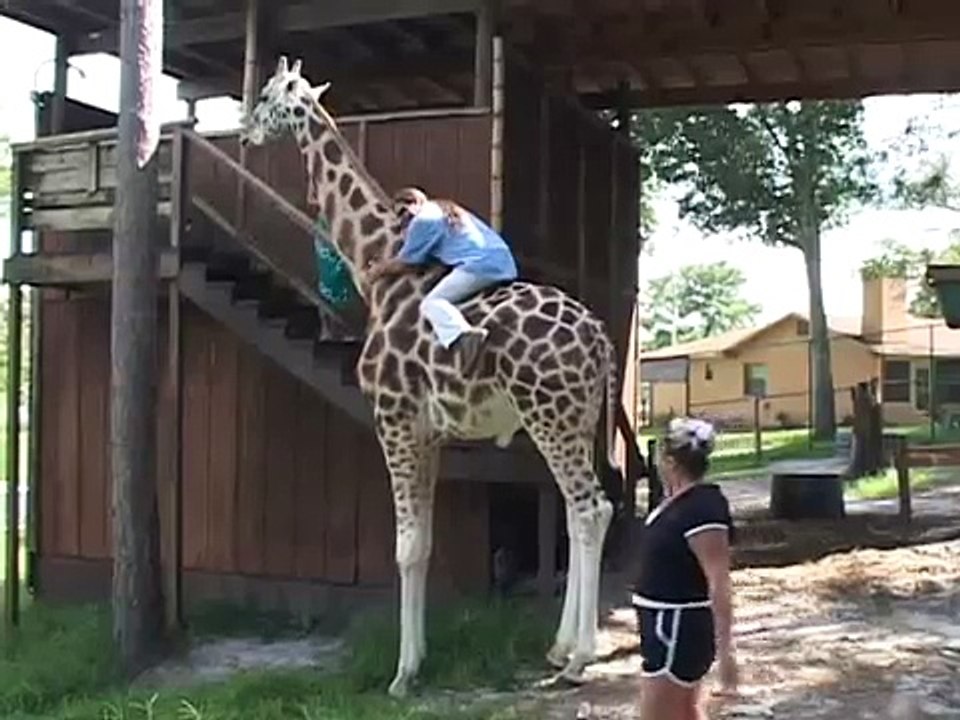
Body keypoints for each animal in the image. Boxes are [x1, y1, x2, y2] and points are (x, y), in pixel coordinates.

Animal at [240, 57, 619, 697]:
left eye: (268, 95)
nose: (245, 135)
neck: (378, 268)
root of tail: (602, 342)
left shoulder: (392, 420)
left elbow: (407, 548)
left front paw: (403, 672)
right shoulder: (430, 432)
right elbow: (425, 544)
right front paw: (416, 660)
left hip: (552, 417)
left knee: (592, 509)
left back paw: (578, 660)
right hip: (576, 419)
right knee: (577, 513)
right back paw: (559, 646)